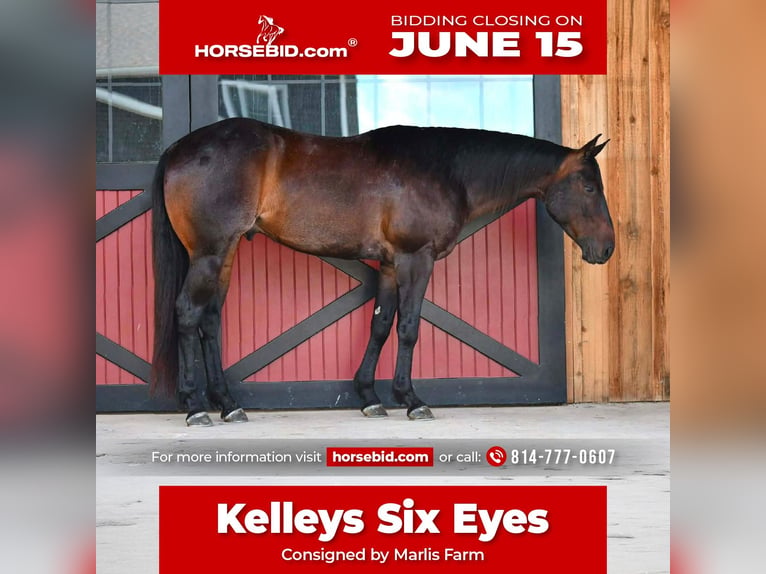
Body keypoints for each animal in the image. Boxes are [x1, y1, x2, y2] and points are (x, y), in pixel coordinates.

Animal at [150, 118, 614, 426]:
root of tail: (178, 149)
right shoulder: (415, 258)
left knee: (210, 320)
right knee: (187, 314)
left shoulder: (391, 264)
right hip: (208, 254)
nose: (606, 248)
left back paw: (228, 404)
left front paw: (370, 396)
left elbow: (380, 324)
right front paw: (411, 398)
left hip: (224, 255)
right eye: (589, 187)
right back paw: (195, 406)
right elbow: (408, 327)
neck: (443, 170)